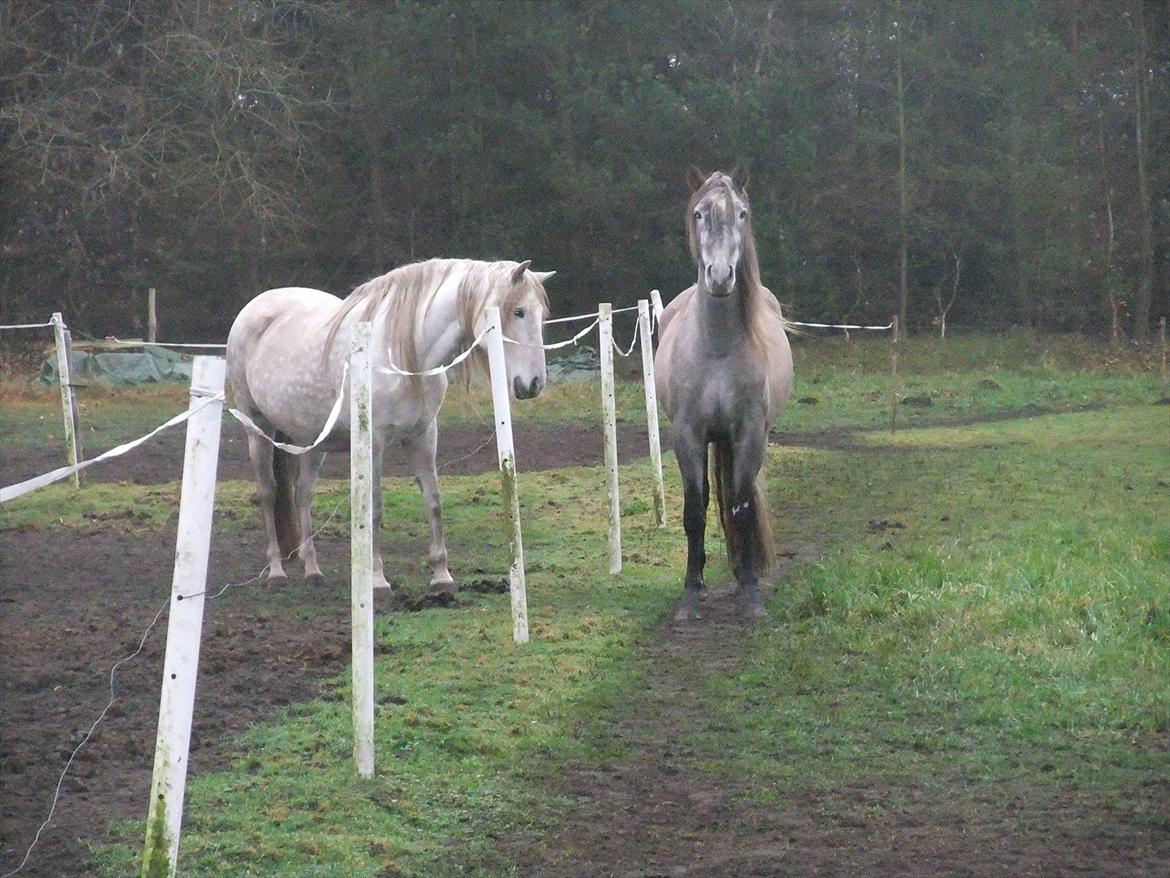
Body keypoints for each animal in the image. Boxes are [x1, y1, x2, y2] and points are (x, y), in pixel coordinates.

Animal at [229, 257, 556, 594]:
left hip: (311, 441)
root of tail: (253, 308)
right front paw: (376, 579)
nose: (533, 384)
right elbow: (374, 509)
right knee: (268, 493)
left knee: (302, 494)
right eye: (518, 311)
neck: (404, 355)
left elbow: (433, 502)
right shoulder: (374, 441)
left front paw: (441, 576)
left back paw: (312, 569)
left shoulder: (424, 436)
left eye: (542, 315)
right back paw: (276, 570)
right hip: (258, 429)